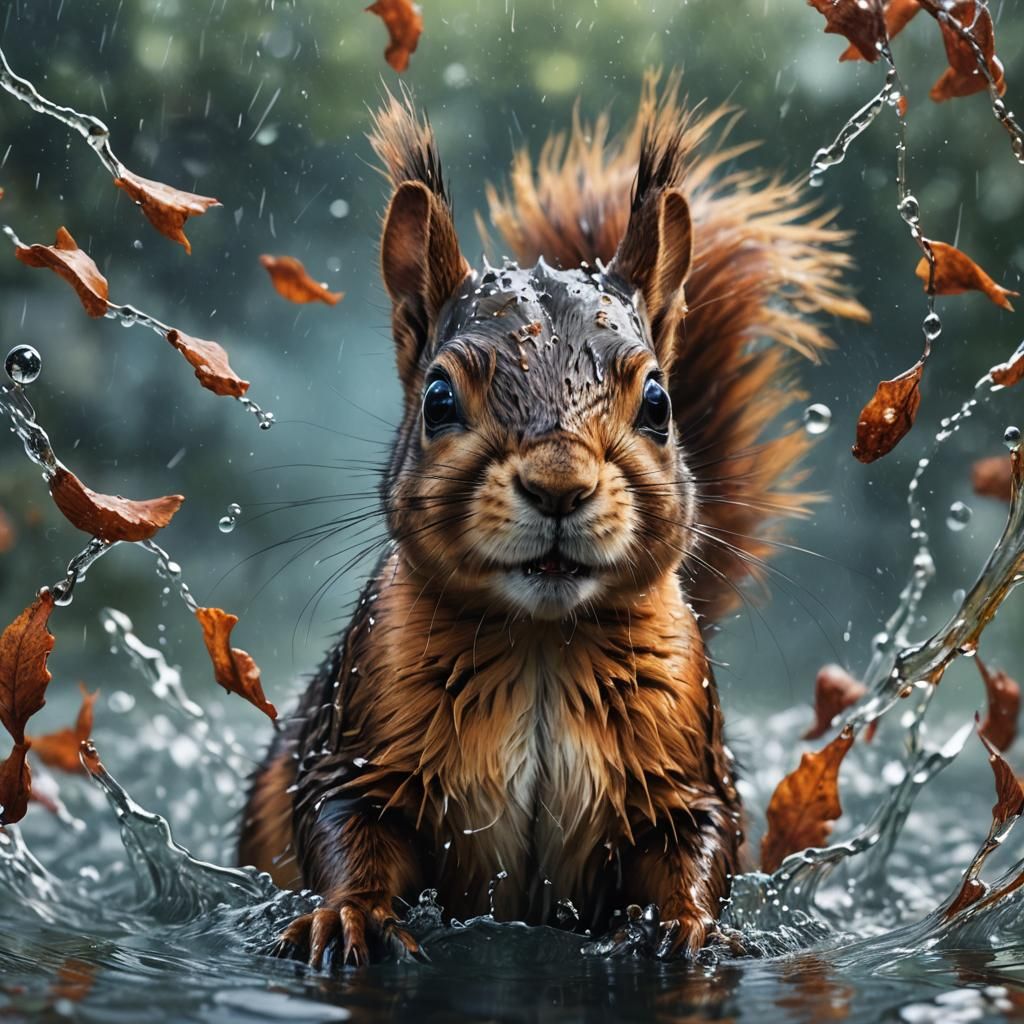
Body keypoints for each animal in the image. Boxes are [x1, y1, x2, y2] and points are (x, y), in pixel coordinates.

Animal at [238, 72, 866, 967]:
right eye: (436, 399)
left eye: (658, 403)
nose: (560, 486)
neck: (540, 642)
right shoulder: (356, 744)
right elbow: (347, 829)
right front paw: (349, 917)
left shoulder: (687, 769)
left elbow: (695, 843)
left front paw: (692, 928)